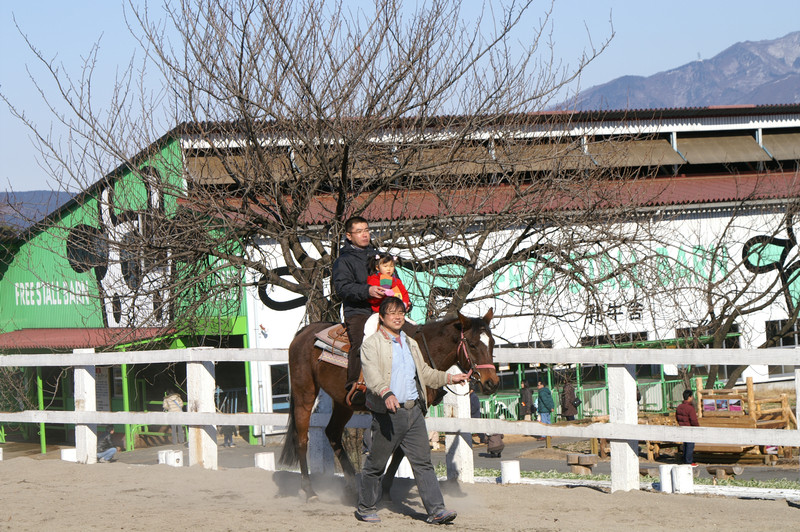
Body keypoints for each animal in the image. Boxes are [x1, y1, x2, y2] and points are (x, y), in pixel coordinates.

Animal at [279, 309, 499, 501]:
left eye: (492, 343)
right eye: (472, 344)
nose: (492, 383)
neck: (421, 352)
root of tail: (305, 332)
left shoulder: (416, 410)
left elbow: (400, 451)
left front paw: (384, 490)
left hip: (342, 403)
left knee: (332, 433)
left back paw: (352, 487)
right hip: (305, 394)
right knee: (302, 439)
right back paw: (309, 491)